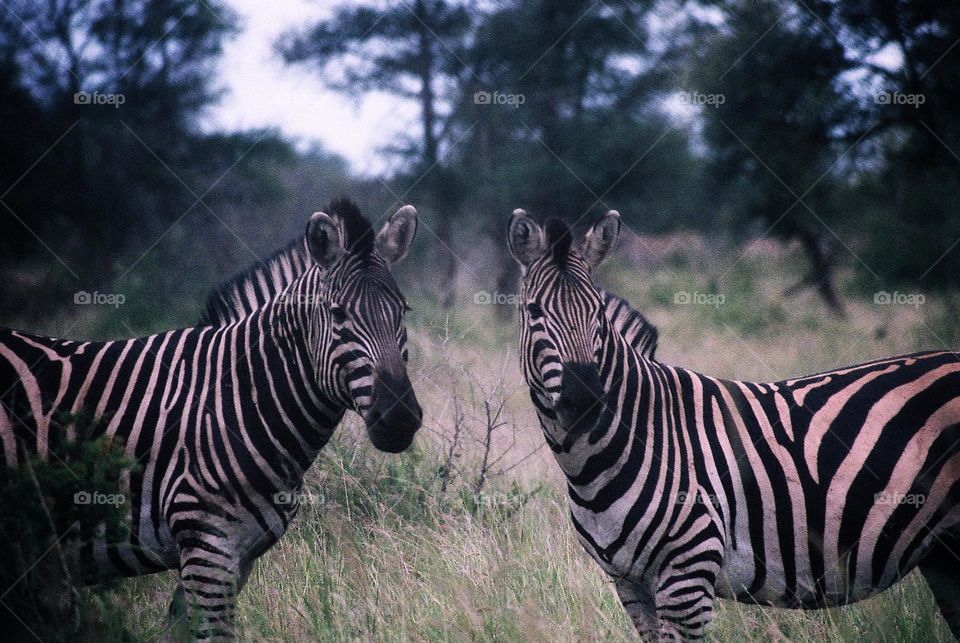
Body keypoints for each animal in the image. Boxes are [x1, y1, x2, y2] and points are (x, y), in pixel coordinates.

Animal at [0, 199, 422, 639]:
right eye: (337, 314)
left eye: (403, 310)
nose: (400, 419)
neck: (233, 401)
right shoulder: (206, 546)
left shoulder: (239, 557)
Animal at [507, 208, 960, 640]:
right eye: (534, 312)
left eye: (598, 314)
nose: (585, 400)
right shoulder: (629, 583)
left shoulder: (689, 571)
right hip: (942, 550)